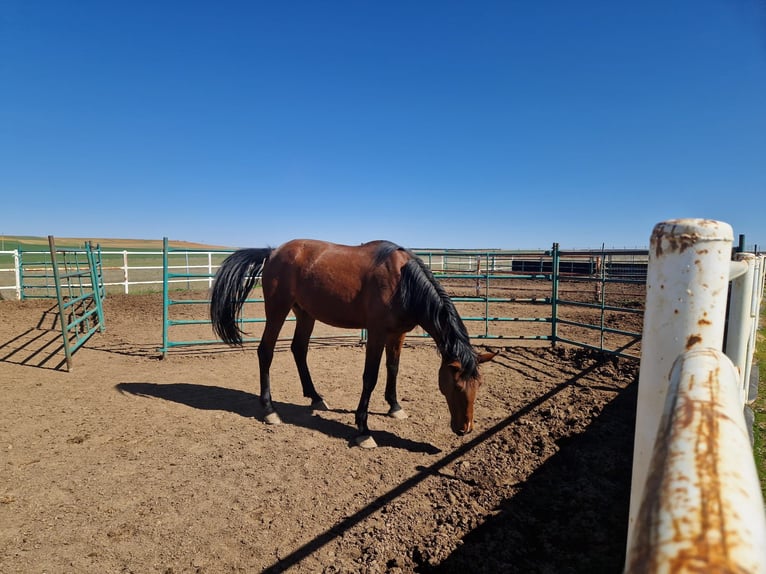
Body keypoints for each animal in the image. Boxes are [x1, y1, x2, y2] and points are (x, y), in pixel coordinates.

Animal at [210, 239, 496, 448]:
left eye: (479, 384)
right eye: (456, 385)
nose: (465, 428)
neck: (403, 282)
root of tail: (273, 252)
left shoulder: (398, 334)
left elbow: (393, 369)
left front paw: (394, 406)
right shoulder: (377, 333)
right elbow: (370, 377)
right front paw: (363, 430)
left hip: (305, 313)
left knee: (299, 349)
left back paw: (315, 397)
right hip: (277, 310)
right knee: (266, 352)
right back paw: (270, 410)